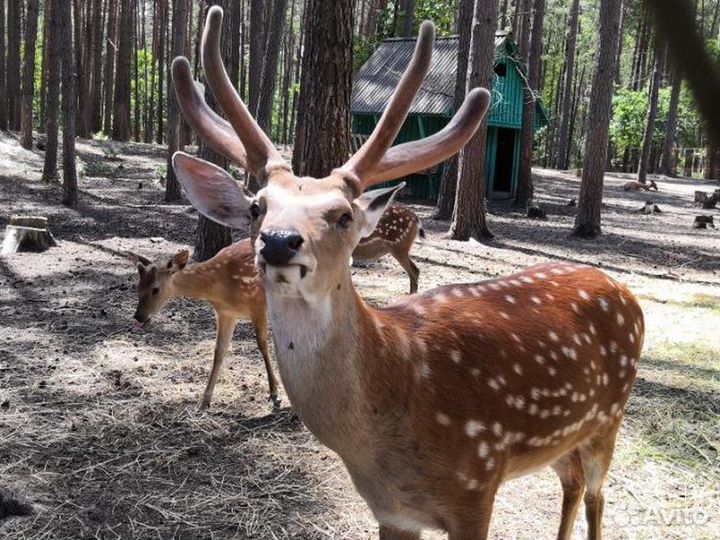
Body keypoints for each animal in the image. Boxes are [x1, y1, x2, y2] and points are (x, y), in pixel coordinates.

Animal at [126, 238, 278, 412]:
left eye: (155, 289)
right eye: (138, 287)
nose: (138, 317)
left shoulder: (257, 304)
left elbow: (262, 345)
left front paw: (274, 392)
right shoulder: (226, 313)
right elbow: (219, 351)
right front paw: (204, 402)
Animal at [172, 9, 644, 540]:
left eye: (343, 215)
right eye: (257, 207)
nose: (278, 241)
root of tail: (625, 292)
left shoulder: (477, 484)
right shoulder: (389, 509)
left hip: (610, 417)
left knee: (597, 493)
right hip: (563, 437)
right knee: (572, 482)